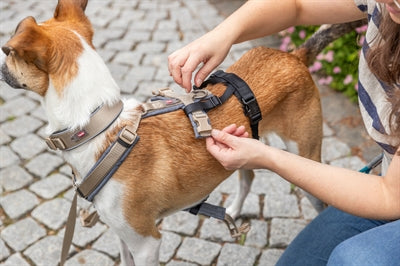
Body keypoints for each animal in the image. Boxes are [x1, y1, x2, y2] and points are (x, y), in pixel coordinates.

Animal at [0, 0, 362, 264]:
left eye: (9, 53)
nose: (1, 68)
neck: (99, 128)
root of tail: (295, 55)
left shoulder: (147, 242)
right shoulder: (121, 233)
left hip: (305, 154)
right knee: (247, 176)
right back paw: (233, 210)